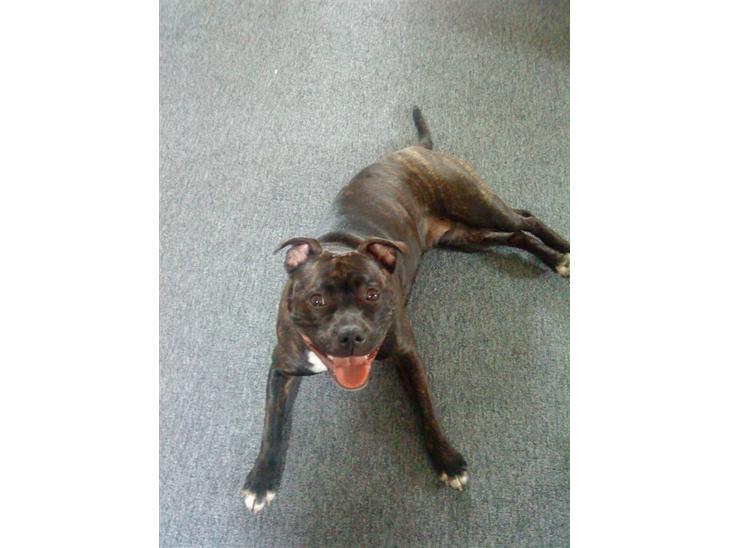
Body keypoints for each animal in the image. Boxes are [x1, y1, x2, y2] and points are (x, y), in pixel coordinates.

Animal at [242, 108, 569, 513]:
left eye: (373, 293)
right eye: (316, 299)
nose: (350, 335)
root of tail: (416, 149)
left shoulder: (406, 353)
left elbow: (425, 408)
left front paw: (446, 460)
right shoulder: (282, 368)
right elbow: (271, 425)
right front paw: (261, 480)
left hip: (478, 205)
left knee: (525, 219)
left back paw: (562, 252)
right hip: (466, 237)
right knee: (517, 234)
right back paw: (554, 255)